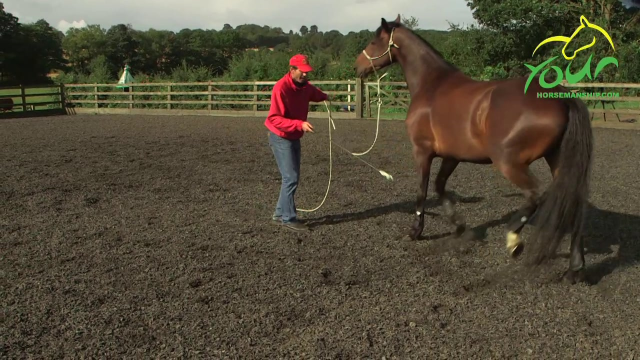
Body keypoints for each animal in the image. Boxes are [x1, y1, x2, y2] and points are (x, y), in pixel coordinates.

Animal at [352, 14, 592, 284]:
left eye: (374, 41)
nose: (357, 67)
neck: (432, 85)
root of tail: (561, 96)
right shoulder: (452, 156)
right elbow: (440, 187)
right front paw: (458, 224)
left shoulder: (422, 152)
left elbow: (422, 190)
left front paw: (416, 231)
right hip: (557, 160)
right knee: (575, 205)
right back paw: (575, 268)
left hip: (509, 162)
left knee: (535, 195)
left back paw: (514, 240)